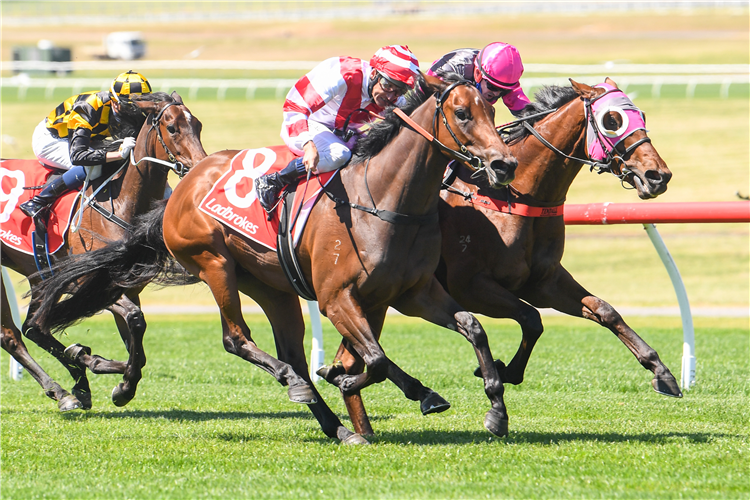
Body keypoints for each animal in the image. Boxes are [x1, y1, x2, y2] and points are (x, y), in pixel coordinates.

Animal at [0, 92, 206, 412]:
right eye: (172, 128)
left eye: (197, 125)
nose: (199, 165)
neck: (124, 203)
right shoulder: (85, 283)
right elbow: (135, 319)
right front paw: (109, 374)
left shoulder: (124, 286)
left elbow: (136, 340)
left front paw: (120, 383)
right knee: (15, 334)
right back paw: (65, 387)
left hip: (38, 275)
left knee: (30, 328)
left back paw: (70, 388)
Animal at [32, 73, 520, 442]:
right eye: (462, 114)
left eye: (493, 112)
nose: (504, 165)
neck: (385, 198)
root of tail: (183, 186)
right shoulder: (337, 298)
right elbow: (376, 360)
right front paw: (352, 378)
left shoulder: (413, 293)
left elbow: (472, 327)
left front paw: (495, 410)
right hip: (215, 265)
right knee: (237, 339)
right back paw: (298, 386)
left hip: (272, 287)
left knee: (293, 353)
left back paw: (336, 423)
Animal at [320, 78, 684, 438]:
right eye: (612, 121)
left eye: (643, 116)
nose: (658, 176)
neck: (516, 195)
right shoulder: (471, 287)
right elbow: (531, 318)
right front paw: (500, 377)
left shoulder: (543, 281)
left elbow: (604, 311)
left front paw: (661, 371)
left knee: (351, 357)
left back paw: (353, 403)